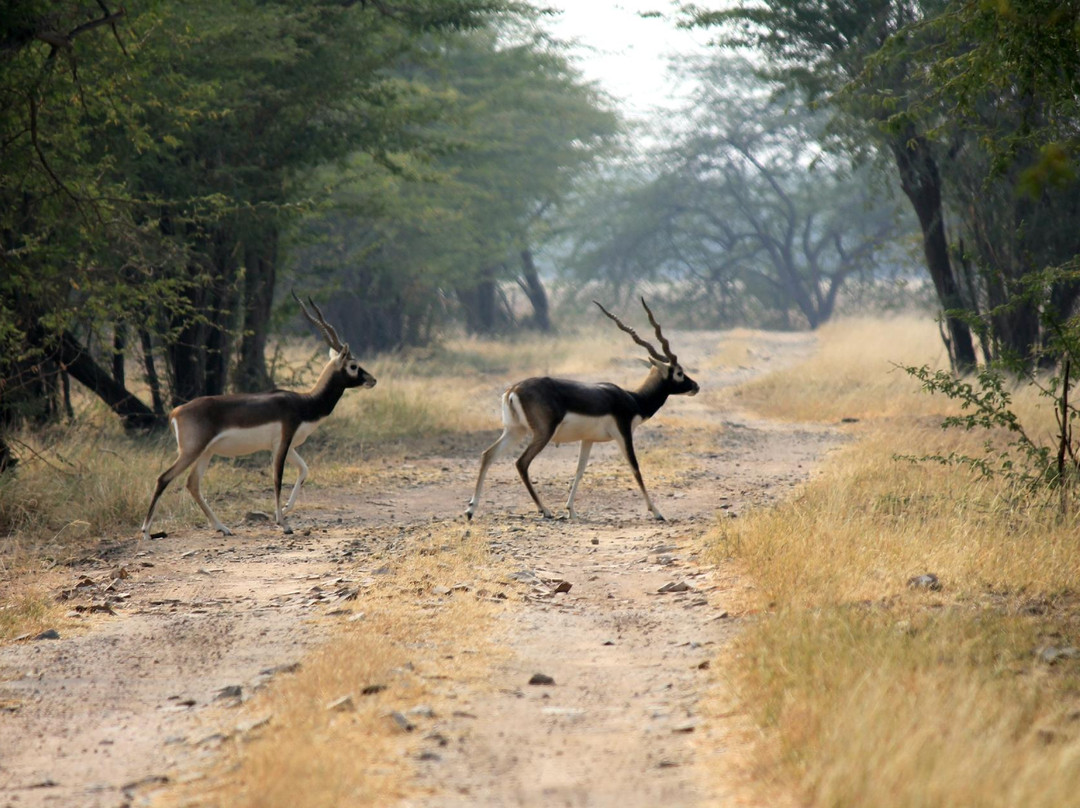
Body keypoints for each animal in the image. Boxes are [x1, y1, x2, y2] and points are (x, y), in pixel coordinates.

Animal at [139, 293, 378, 540]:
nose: (373, 380)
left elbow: (304, 470)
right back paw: (146, 531)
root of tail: (176, 411)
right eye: (354, 365)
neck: (305, 402)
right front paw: (284, 523)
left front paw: (286, 509)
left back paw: (222, 527)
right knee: (164, 478)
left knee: (192, 484)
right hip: (191, 451)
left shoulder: (285, 445)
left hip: (206, 452)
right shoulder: (282, 442)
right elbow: (277, 479)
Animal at [466, 300, 699, 520]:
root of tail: (513, 389)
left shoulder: (588, 439)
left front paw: (570, 509)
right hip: (542, 433)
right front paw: (657, 512)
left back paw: (471, 509)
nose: (696, 386)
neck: (633, 399)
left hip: (515, 430)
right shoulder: (623, 433)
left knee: (488, 455)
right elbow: (635, 469)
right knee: (521, 463)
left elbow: (579, 470)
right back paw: (545, 510)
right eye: (679, 372)